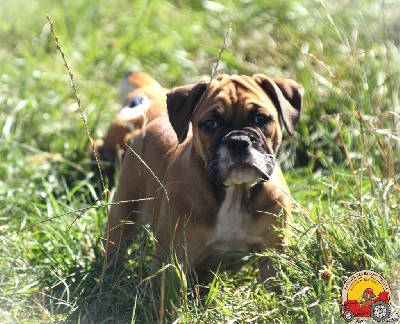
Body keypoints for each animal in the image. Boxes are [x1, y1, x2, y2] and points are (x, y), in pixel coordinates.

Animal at [104, 73, 302, 280]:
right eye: (210, 124)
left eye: (260, 118)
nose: (239, 141)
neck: (235, 193)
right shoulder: (173, 259)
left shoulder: (273, 255)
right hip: (125, 208)